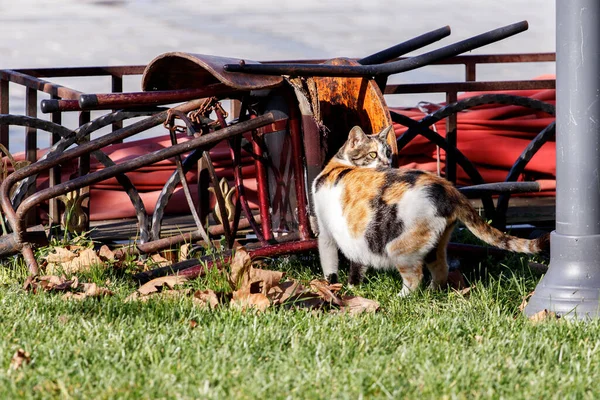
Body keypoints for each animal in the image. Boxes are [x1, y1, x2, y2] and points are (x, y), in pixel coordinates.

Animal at [312, 126, 552, 296]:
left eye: (387, 153)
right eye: (373, 154)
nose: (387, 163)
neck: (339, 165)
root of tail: (448, 188)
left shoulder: (327, 232)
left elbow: (329, 260)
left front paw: (332, 285)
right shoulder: (356, 236)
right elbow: (357, 264)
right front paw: (354, 286)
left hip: (400, 246)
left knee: (415, 276)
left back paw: (402, 297)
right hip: (435, 243)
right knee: (441, 269)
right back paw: (432, 293)